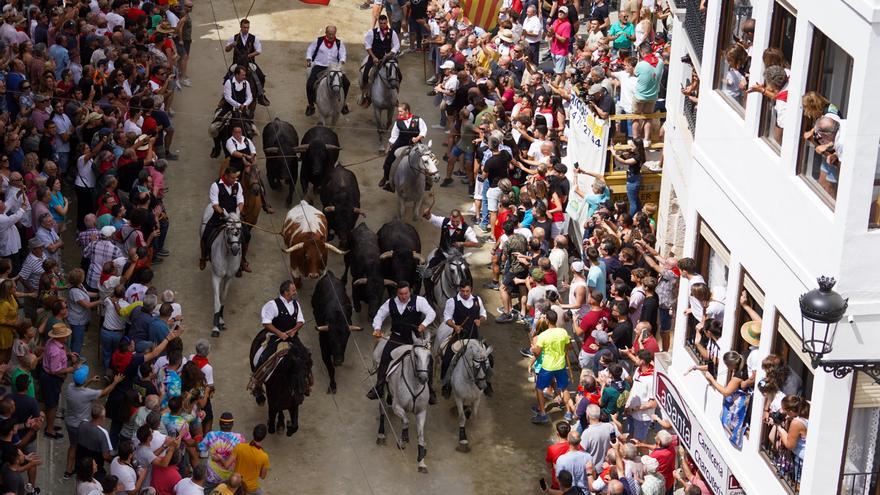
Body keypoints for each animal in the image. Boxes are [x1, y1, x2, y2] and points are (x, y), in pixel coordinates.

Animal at [199, 205, 241, 338]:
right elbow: (217, 301)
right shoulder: (216, 277)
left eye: (240, 229)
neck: (227, 255)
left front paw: (221, 321)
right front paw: (215, 327)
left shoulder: (229, 277)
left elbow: (223, 298)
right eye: (228, 229)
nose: (235, 249)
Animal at [372, 338, 432, 472]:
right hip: (382, 390)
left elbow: (421, 435)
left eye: (429, 356)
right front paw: (403, 440)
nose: (423, 378)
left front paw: (422, 460)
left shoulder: (421, 412)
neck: (415, 385)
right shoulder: (397, 407)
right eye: (416, 355)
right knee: (382, 410)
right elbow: (406, 421)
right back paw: (381, 434)